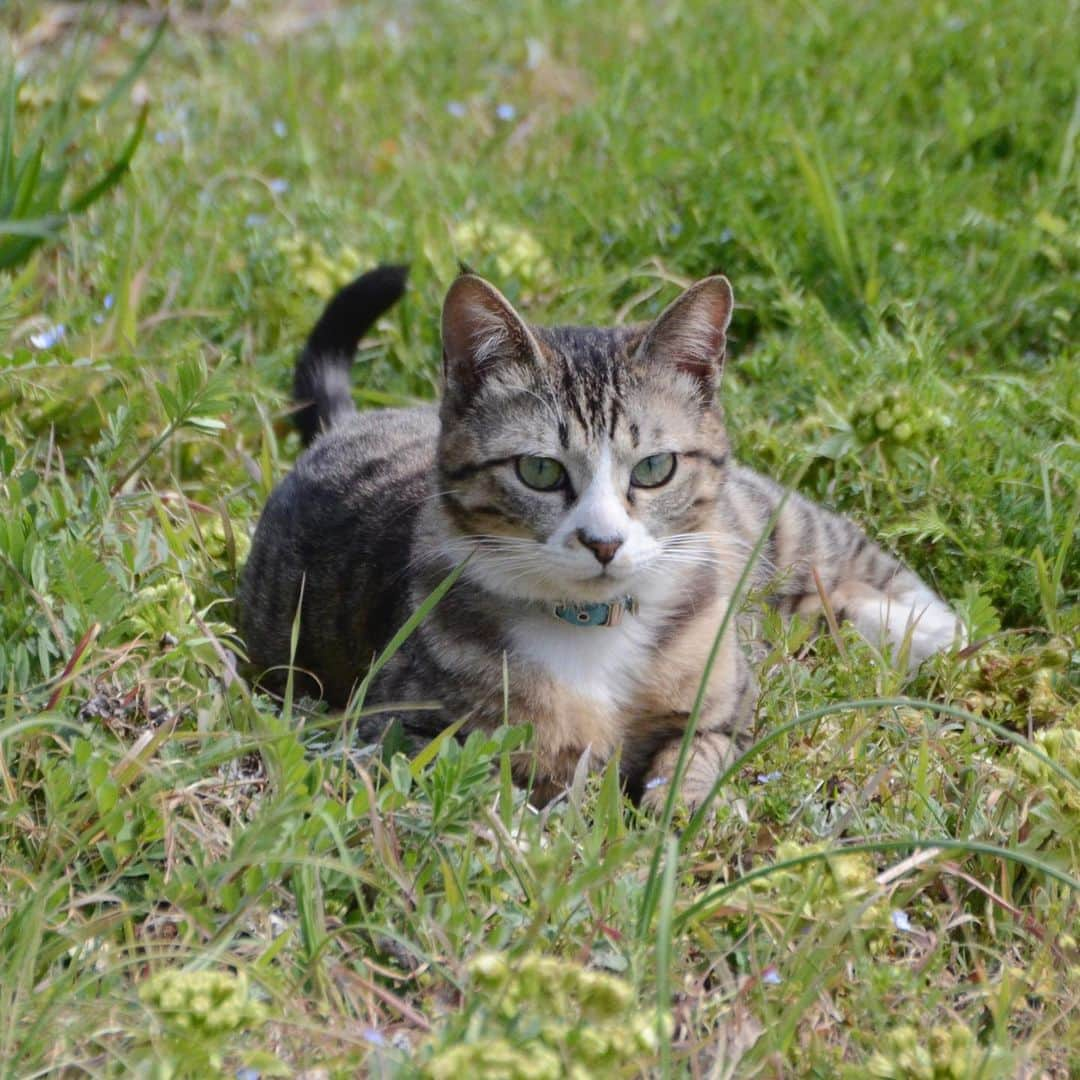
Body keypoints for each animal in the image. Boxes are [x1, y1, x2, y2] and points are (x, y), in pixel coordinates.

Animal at [240, 263, 967, 812]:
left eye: (653, 468)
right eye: (538, 471)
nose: (604, 542)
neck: (594, 627)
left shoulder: (725, 701)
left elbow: (701, 752)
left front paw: (679, 808)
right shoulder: (396, 726)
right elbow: (480, 779)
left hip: (767, 529)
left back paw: (934, 633)